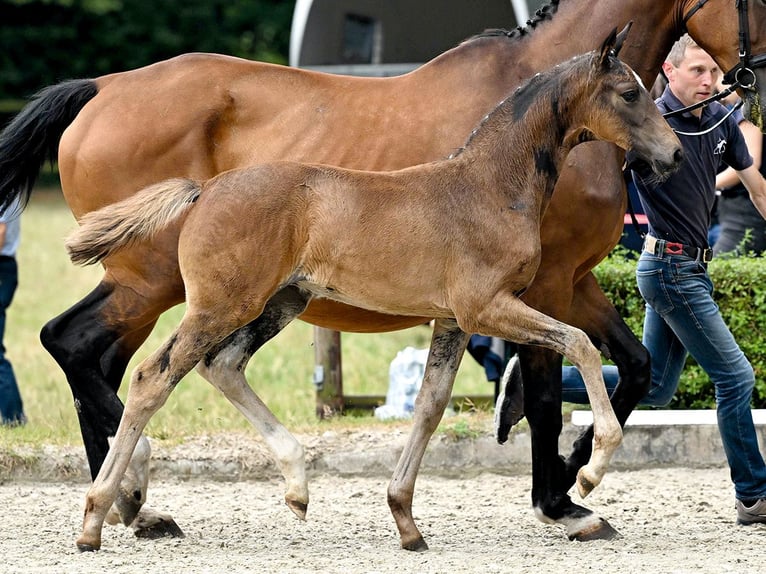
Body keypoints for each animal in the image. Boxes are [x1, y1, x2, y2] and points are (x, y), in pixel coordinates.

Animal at [0, 0, 765, 547]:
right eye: (630, 93)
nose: (673, 154)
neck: (488, 181)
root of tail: (203, 191)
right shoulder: (502, 302)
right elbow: (567, 363)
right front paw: (587, 476)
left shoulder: (461, 317)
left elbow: (434, 406)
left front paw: (407, 517)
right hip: (191, 296)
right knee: (142, 374)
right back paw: (109, 509)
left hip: (270, 302)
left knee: (204, 366)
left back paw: (279, 486)